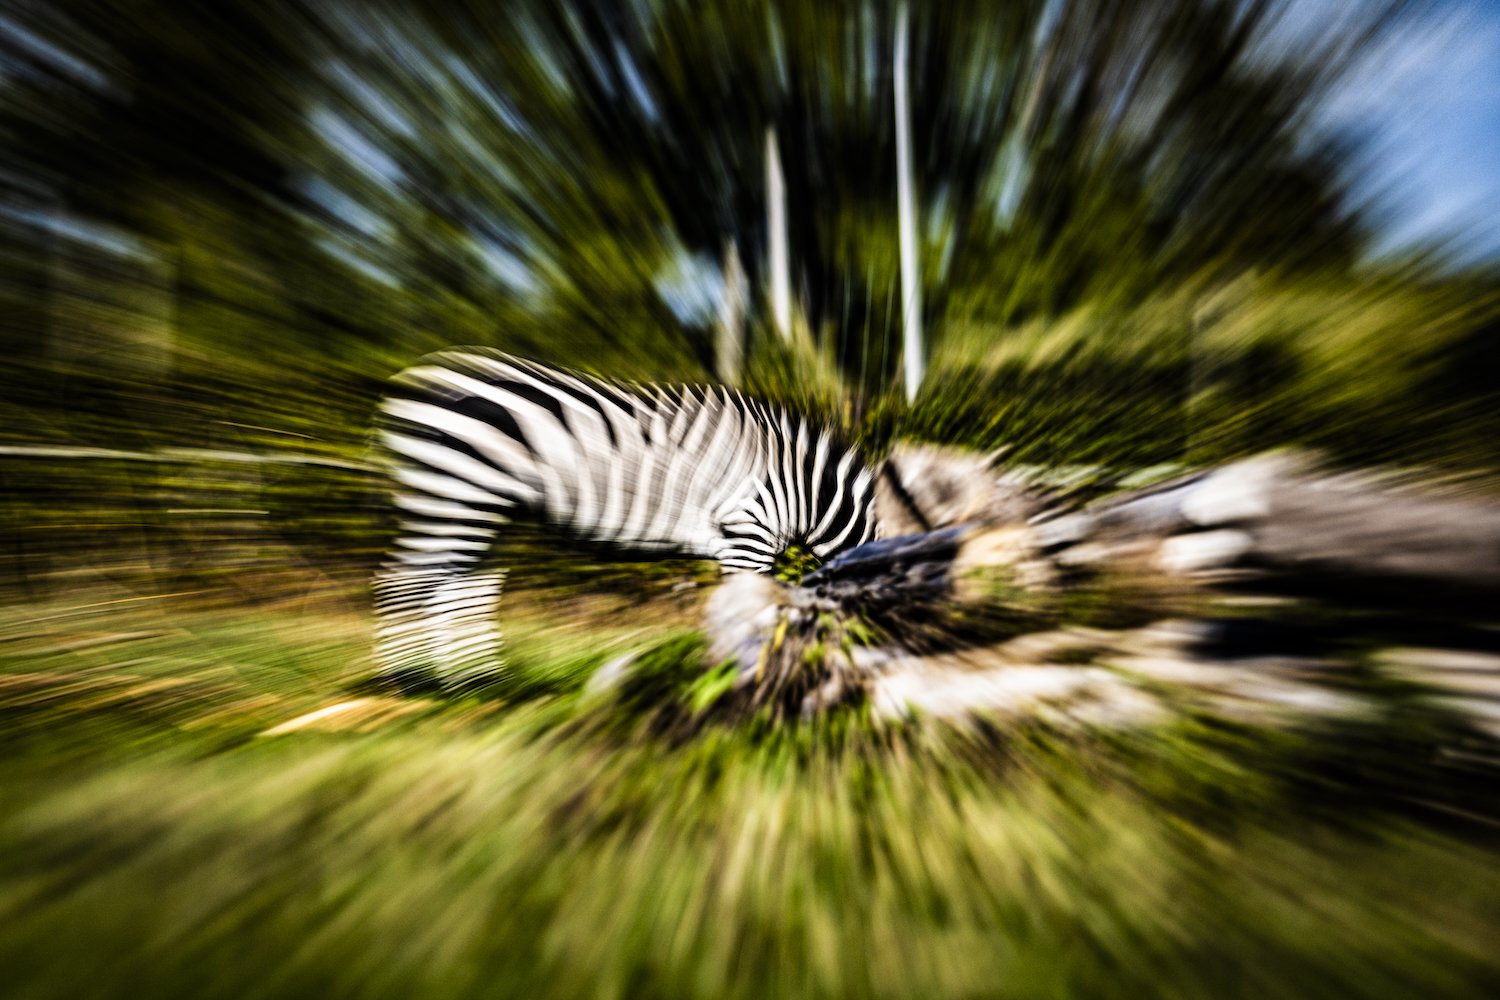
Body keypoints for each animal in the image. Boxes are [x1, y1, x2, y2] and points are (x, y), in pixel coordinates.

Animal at [372, 349, 880, 688]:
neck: (807, 491)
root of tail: (414, 376)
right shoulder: (746, 537)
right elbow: (747, 614)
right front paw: (738, 680)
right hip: (454, 489)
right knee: (402, 582)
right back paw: (405, 683)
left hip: (479, 506)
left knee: (463, 589)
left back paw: (473, 682)